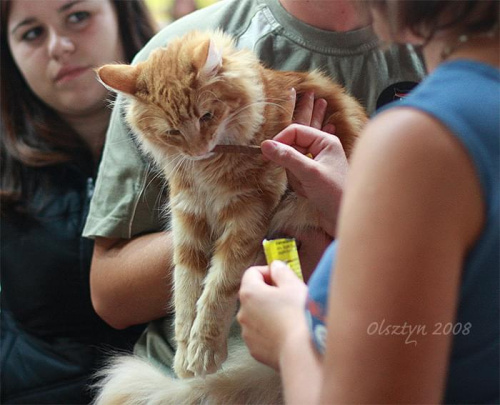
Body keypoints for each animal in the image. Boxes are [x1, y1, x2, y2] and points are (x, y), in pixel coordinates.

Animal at [95, 29, 366, 398]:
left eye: (206, 116)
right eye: (172, 132)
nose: (198, 150)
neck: (207, 172)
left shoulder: (248, 214)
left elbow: (218, 288)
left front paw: (205, 351)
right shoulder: (188, 215)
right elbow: (185, 292)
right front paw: (185, 354)